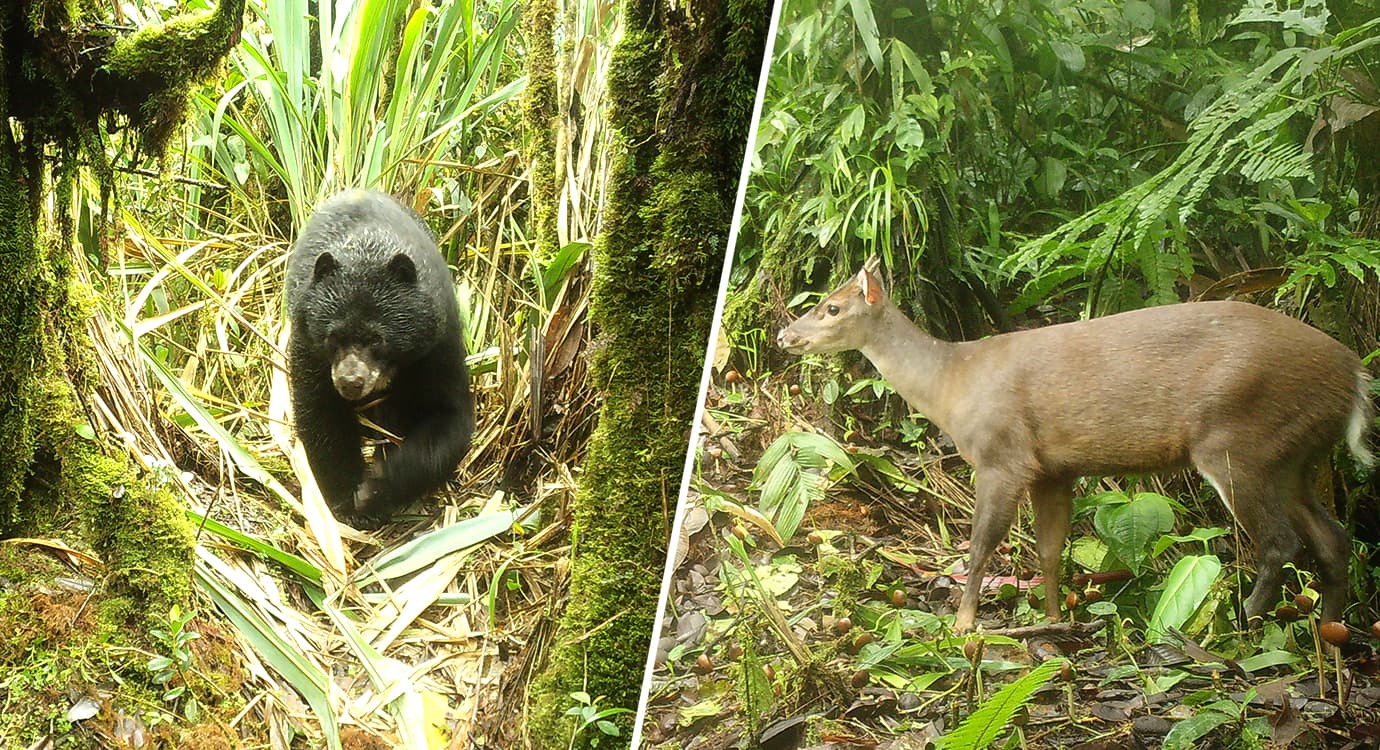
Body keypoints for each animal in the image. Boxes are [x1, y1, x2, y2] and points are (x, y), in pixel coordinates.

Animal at [285, 189, 474, 524]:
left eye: (377, 338)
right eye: (334, 337)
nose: (350, 381)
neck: (368, 248)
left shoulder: (438, 346)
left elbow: (448, 418)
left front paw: (375, 490)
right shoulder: (308, 348)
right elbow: (320, 415)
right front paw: (347, 496)